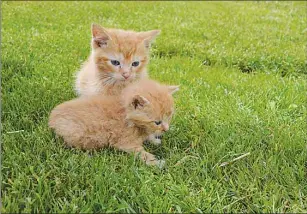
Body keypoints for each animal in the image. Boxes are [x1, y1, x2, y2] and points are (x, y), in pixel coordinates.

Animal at [48, 79, 178, 166]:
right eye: (157, 122)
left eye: (169, 116)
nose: (166, 129)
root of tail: (52, 118)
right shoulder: (126, 143)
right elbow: (141, 153)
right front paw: (156, 162)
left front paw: (154, 140)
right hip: (76, 136)